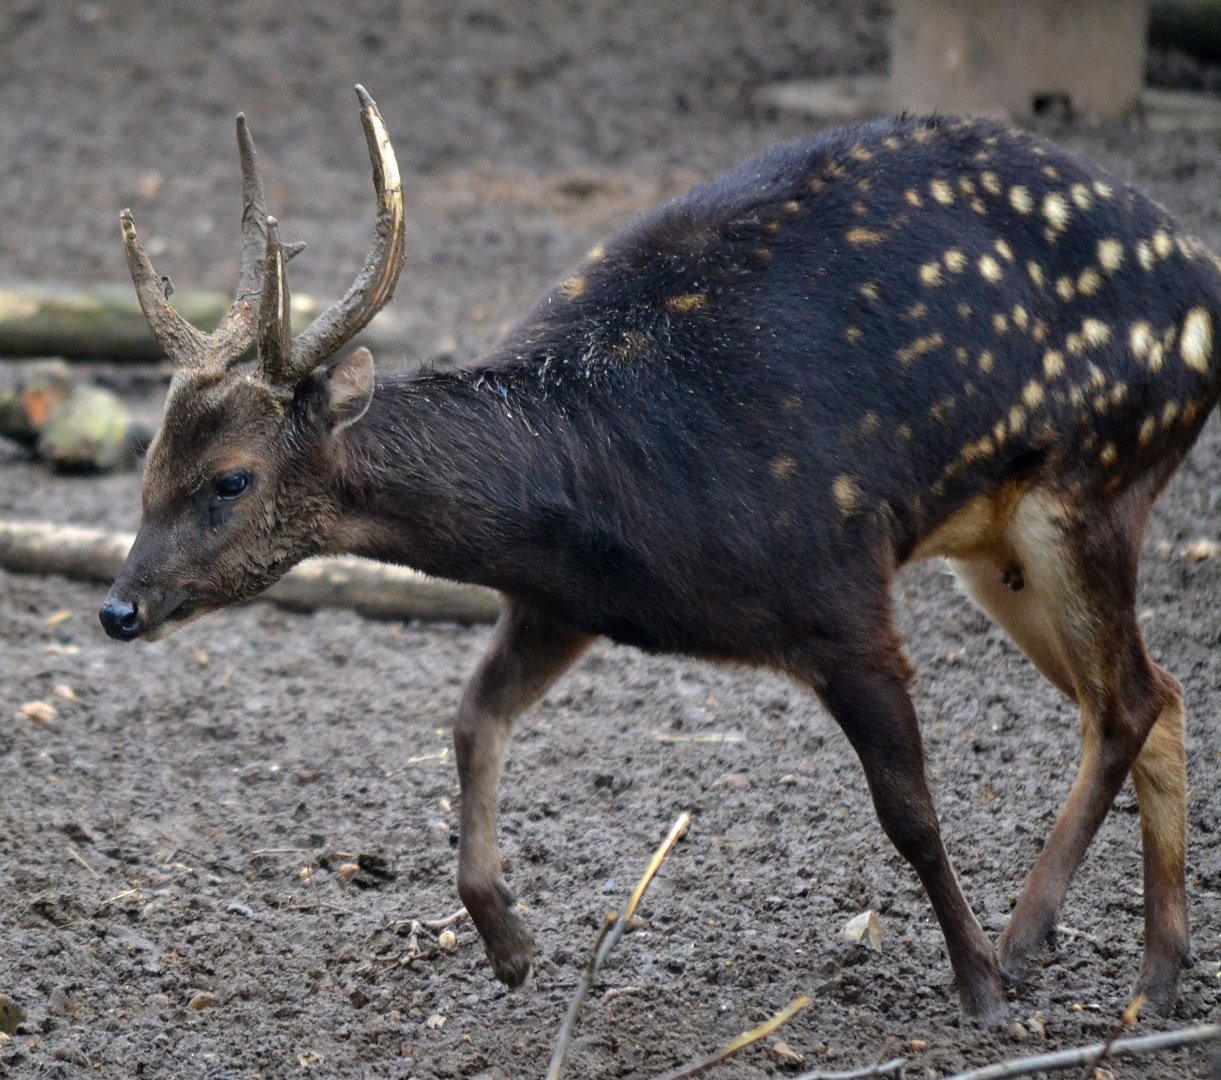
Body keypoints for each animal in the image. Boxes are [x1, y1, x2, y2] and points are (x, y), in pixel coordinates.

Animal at [100, 87, 1220, 1025]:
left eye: (230, 479)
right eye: (149, 456)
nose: (118, 608)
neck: (617, 489)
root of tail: (1204, 280)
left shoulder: (840, 589)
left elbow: (908, 811)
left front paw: (978, 987)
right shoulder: (567, 600)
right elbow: (471, 719)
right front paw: (510, 946)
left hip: (1090, 479)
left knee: (1126, 700)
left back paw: (1030, 944)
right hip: (996, 544)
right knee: (1155, 694)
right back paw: (1156, 982)